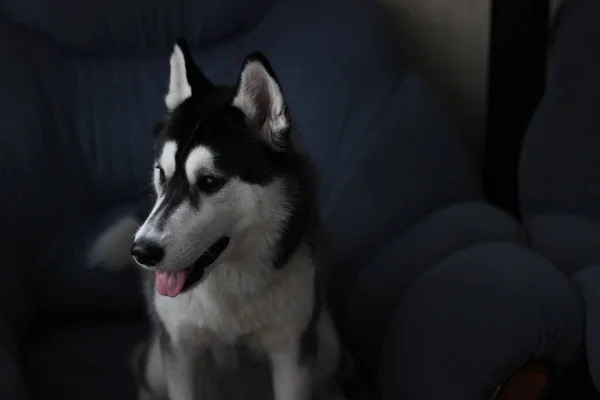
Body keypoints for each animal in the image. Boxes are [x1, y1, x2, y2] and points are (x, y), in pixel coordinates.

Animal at [91, 39, 350, 400]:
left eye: (210, 181)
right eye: (162, 174)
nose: (142, 252)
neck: (229, 284)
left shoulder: (291, 353)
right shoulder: (180, 351)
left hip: (327, 342)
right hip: (156, 362)